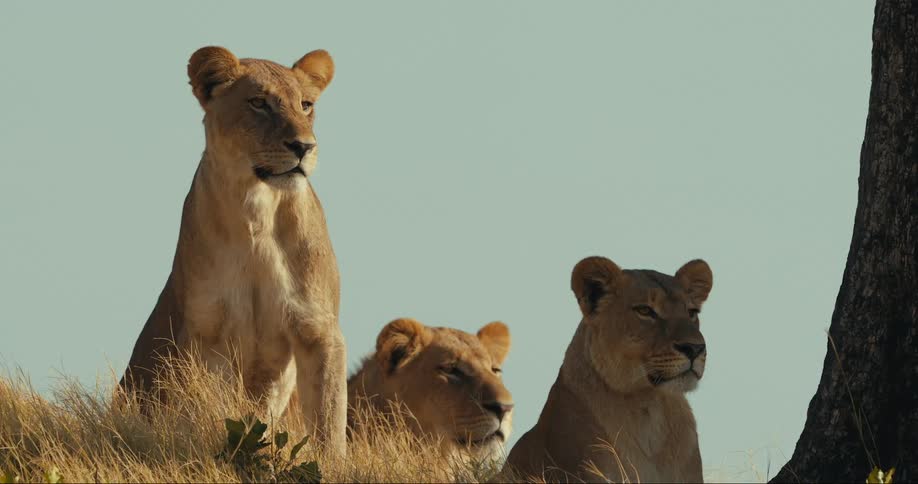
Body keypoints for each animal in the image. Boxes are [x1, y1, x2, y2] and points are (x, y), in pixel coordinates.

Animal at [119, 46, 347, 456]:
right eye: (259, 103)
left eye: (305, 105)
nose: (304, 147)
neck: (257, 209)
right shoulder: (204, 335)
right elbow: (207, 410)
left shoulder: (318, 328)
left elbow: (328, 418)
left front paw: (335, 463)